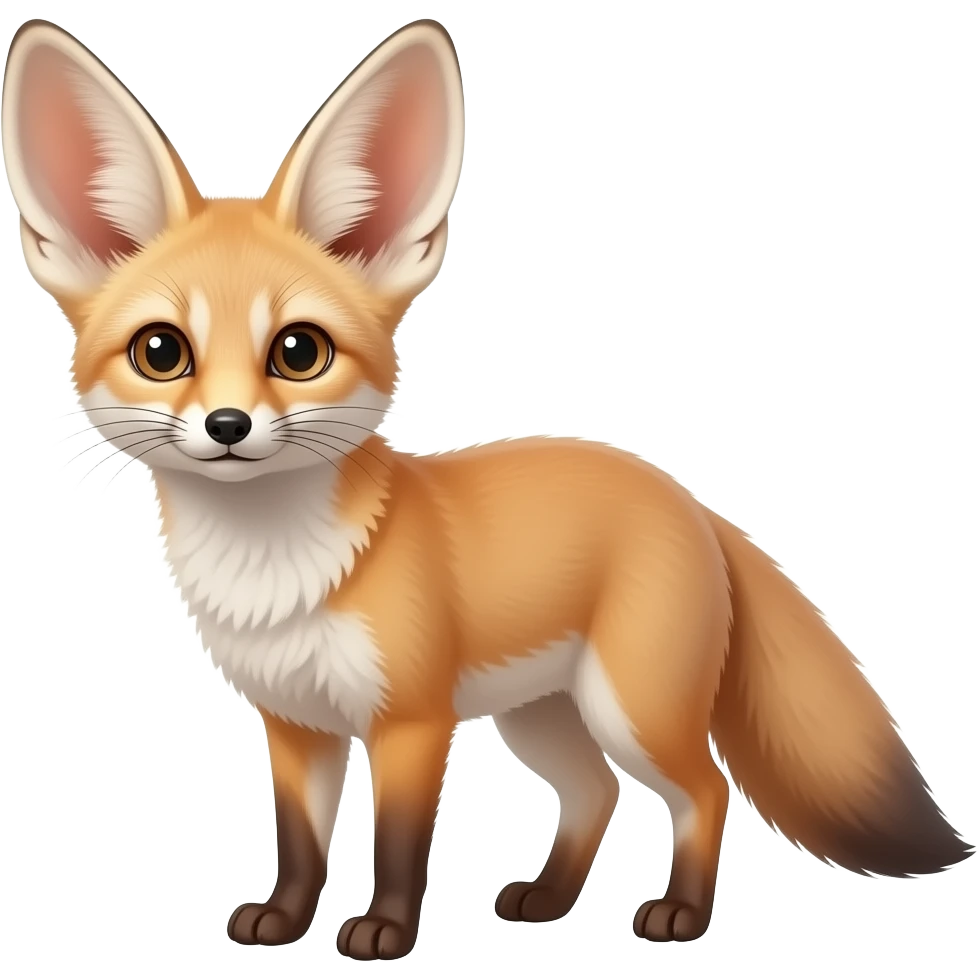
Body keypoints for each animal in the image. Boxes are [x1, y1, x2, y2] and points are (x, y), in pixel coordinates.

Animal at [4, 15, 974, 959]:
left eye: (299, 351)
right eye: (161, 352)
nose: (230, 426)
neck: (278, 571)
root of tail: (683, 495)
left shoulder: (412, 720)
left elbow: (397, 841)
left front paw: (385, 933)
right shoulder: (296, 724)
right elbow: (301, 844)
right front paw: (281, 921)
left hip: (632, 709)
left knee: (705, 788)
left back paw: (680, 913)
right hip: (542, 717)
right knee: (595, 794)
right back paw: (546, 899)